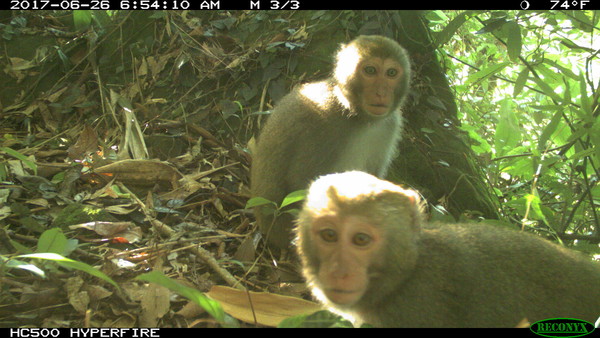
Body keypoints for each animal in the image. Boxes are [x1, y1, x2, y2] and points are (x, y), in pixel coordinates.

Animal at [250, 36, 412, 248]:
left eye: (391, 73)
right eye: (370, 70)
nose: (382, 92)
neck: (357, 116)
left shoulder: (390, 124)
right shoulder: (323, 121)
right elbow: (301, 182)